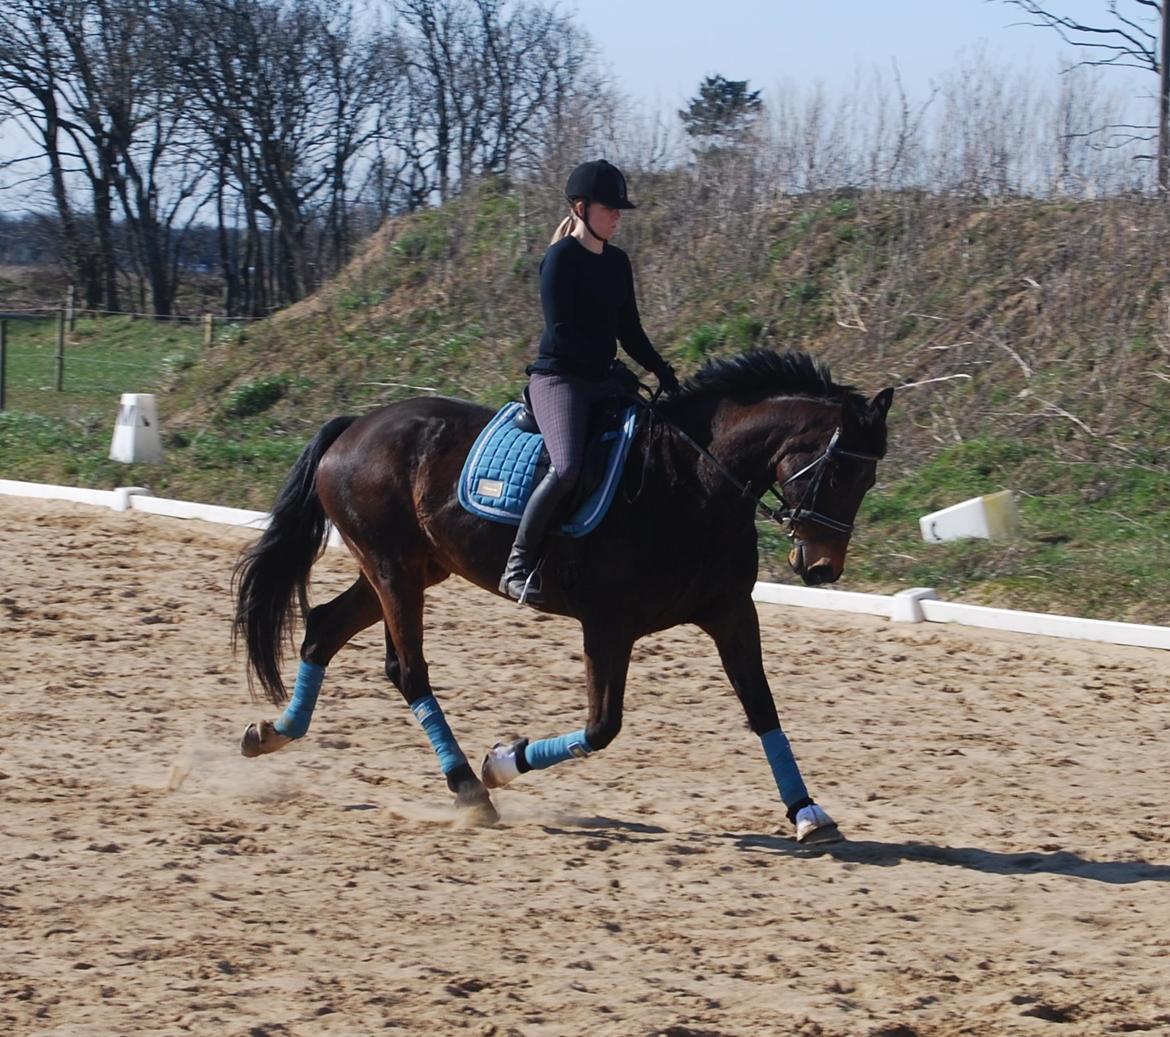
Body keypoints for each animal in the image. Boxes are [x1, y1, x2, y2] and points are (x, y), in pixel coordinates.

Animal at [232, 348, 889, 842]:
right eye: (838, 469)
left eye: (869, 477)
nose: (822, 569)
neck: (694, 484)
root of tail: (356, 426)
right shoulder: (607, 625)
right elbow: (602, 727)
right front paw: (501, 761)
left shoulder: (731, 613)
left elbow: (762, 707)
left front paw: (809, 814)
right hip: (392, 568)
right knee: (408, 670)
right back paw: (471, 789)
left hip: (412, 569)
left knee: (324, 629)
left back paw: (271, 734)